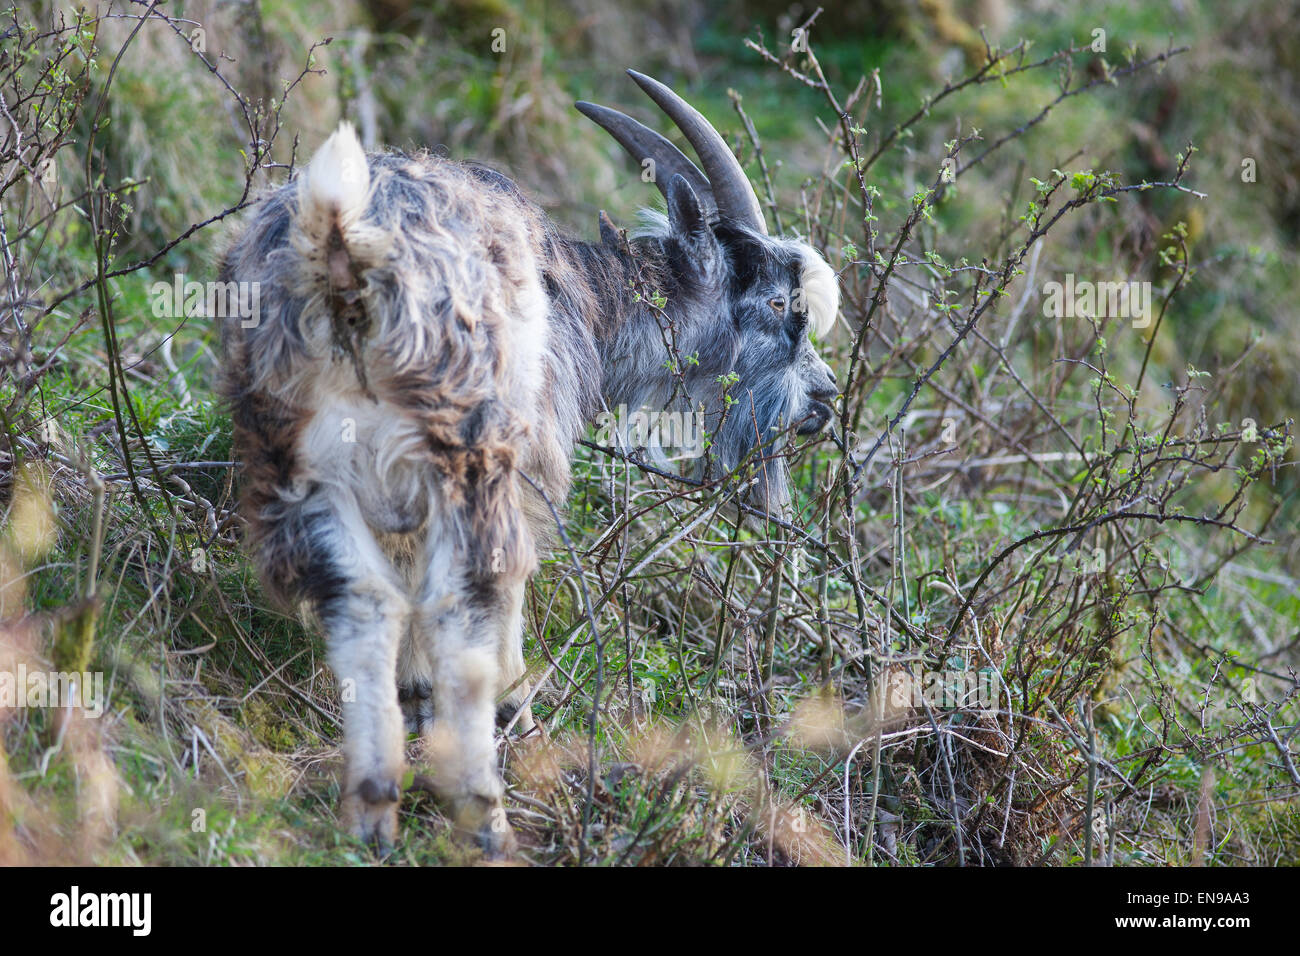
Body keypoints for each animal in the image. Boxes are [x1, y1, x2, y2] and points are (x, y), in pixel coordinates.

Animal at [218, 70, 839, 857]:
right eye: (782, 305)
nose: (825, 397)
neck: (587, 301)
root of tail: (344, 249)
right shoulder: (531, 462)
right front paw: (510, 718)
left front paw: (416, 701)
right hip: (470, 445)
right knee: (471, 595)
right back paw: (486, 809)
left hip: (295, 457)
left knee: (363, 599)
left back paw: (373, 810)